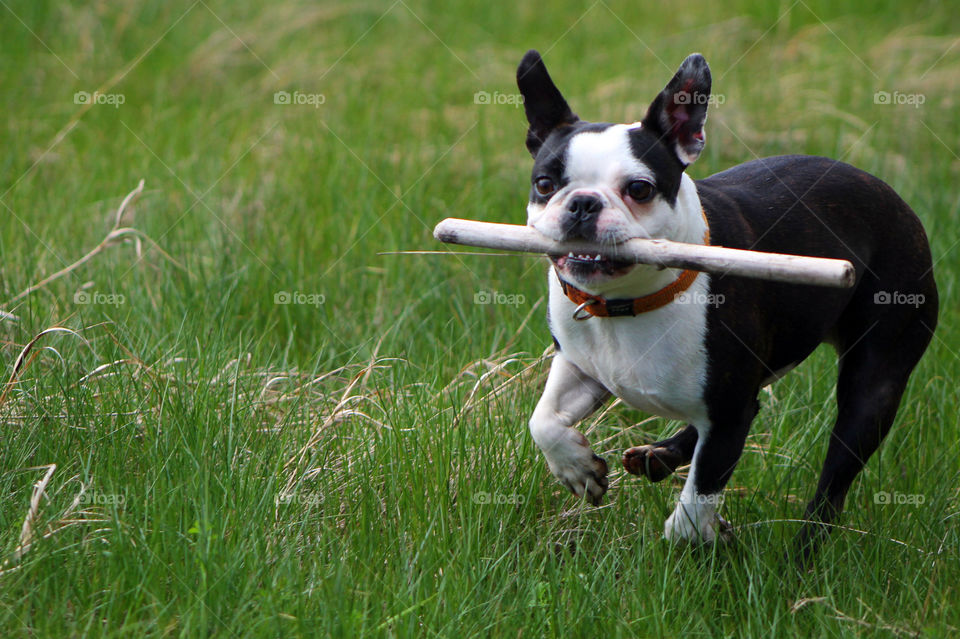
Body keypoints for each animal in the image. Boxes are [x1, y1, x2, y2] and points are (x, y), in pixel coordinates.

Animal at [516, 50, 936, 552]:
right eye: (544, 184)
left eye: (639, 189)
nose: (582, 203)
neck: (628, 304)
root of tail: (888, 191)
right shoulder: (583, 364)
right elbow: (543, 419)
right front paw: (577, 469)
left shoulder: (730, 412)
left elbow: (696, 500)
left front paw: (701, 535)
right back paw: (659, 456)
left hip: (874, 382)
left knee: (831, 488)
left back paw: (801, 554)